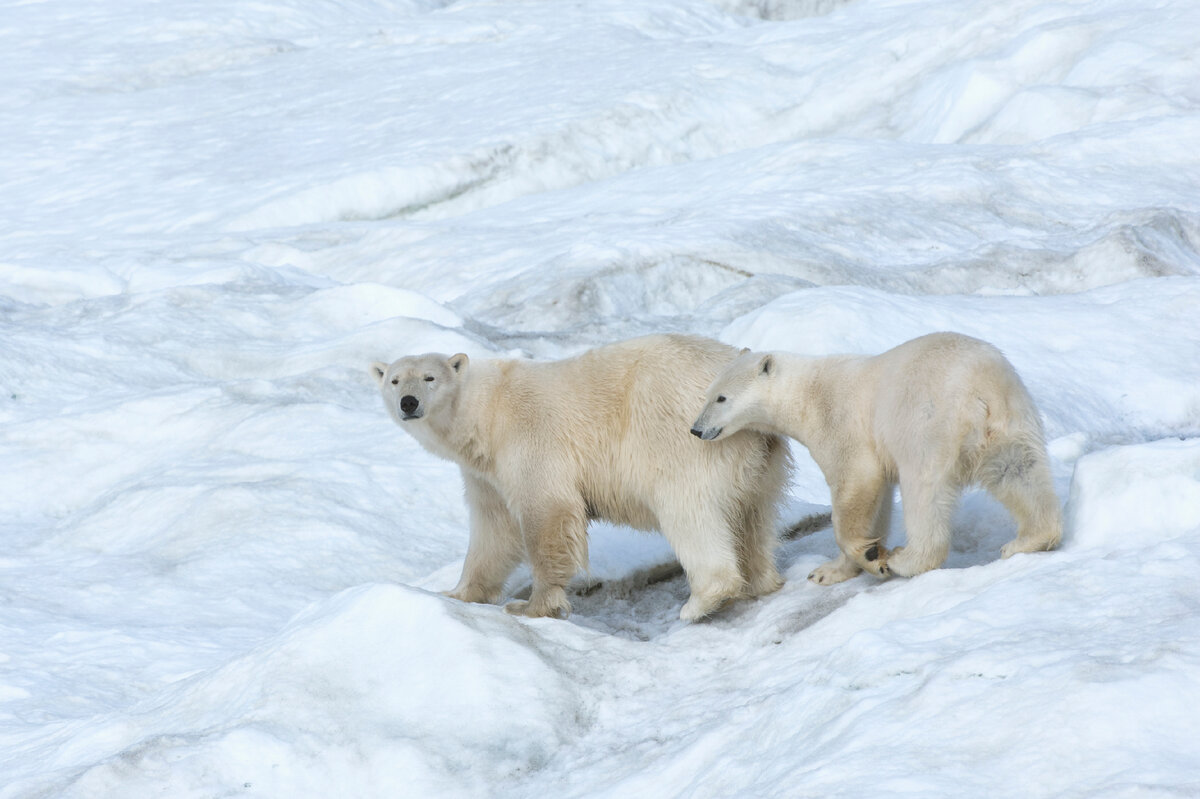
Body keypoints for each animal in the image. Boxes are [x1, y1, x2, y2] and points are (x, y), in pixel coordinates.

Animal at [369, 333, 792, 619]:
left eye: (430, 378)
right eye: (394, 380)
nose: (409, 402)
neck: (486, 413)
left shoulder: (530, 439)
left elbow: (547, 513)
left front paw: (531, 606)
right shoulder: (485, 474)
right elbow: (494, 530)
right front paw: (459, 593)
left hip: (687, 437)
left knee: (688, 511)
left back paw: (702, 600)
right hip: (759, 458)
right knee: (755, 514)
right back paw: (762, 580)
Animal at [691, 331, 1065, 585]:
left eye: (721, 398)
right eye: (706, 394)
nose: (696, 429)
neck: (807, 394)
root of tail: (981, 389)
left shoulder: (841, 424)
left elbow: (855, 482)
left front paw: (872, 557)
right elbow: (878, 501)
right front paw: (829, 571)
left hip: (926, 423)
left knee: (924, 492)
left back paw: (907, 559)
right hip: (1010, 419)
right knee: (1019, 471)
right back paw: (1029, 539)